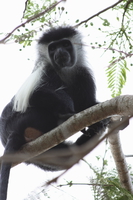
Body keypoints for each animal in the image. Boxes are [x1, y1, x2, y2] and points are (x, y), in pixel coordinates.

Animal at [0, 26, 109, 200]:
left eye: (65, 44)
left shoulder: (83, 75)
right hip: (27, 118)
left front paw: (100, 120)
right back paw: (65, 117)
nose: (59, 52)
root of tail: (10, 134)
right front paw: (68, 110)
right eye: (52, 48)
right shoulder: (45, 70)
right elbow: (35, 95)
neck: (64, 71)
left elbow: (89, 105)